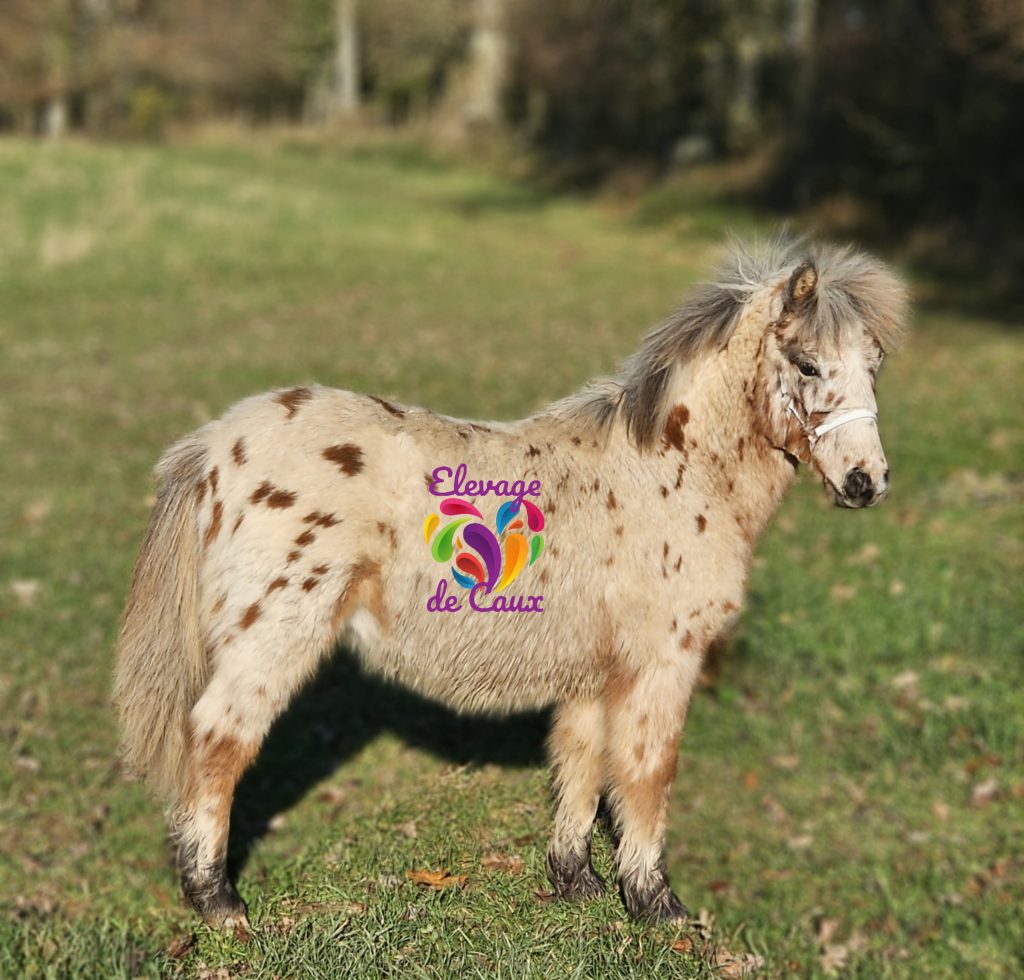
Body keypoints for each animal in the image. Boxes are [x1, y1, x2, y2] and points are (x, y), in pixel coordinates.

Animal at [114, 236, 908, 927]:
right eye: (806, 364)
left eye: (874, 365)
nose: (865, 483)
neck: (674, 470)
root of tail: (214, 446)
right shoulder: (663, 662)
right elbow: (648, 770)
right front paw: (659, 907)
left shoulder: (596, 671)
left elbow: (582, 763)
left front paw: (578, 883)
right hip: (273, 639)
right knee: (218, 740)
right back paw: (218, 904)